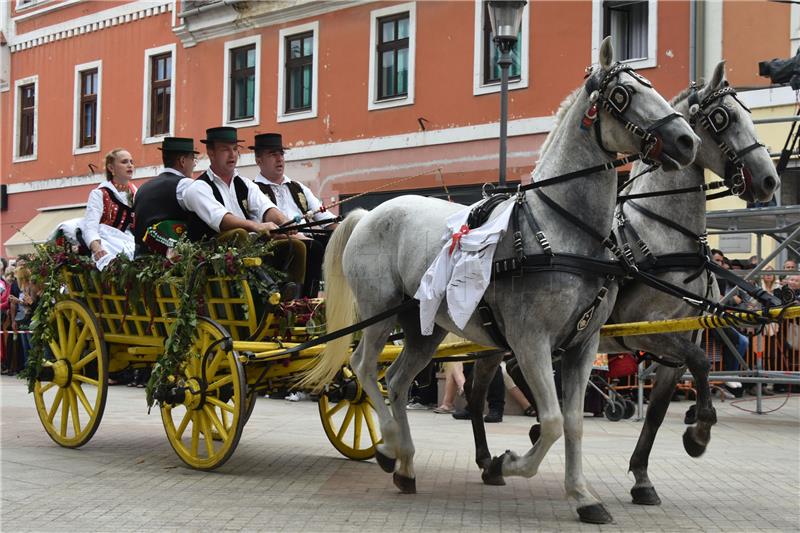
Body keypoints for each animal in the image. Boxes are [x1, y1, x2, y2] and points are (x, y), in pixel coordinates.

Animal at [306, 38, 700, 524]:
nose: (687, 140)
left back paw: (406, 463)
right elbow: (551, 422)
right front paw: (505, 463)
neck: (562, 232)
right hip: (380, 314)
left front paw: (582, 495)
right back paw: (391, 443)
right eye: (623, 93)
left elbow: (572, 422)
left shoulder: (582, 345)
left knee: (396, 380)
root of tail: (367, 214)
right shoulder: (531, 341)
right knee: (364, 368)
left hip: (424, 328)